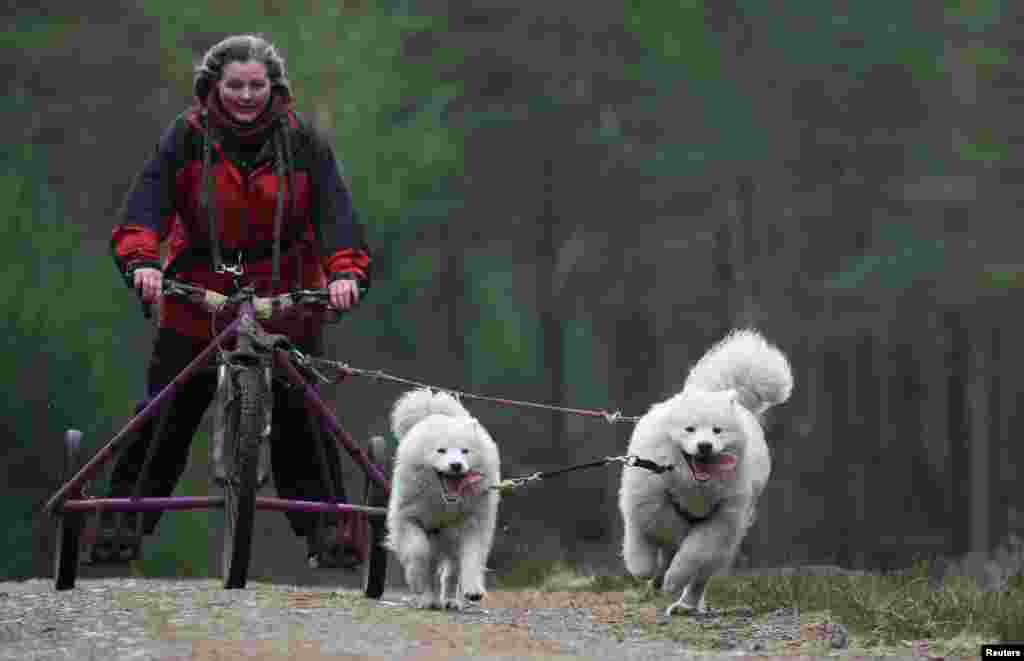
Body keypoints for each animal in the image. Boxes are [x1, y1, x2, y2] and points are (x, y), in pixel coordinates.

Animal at [385, 388, 499, 609]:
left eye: (465, 451)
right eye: (441, 450)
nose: (456, 465)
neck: (444, 504)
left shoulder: (474, 524)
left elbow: (472, 557)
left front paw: (473, 589)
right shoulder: (408, 519)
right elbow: (418, 552)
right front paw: (416, 580)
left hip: (451, 540)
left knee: (452, 571)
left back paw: (449, 600)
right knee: (431, 568)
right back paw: (428, 599)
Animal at [614, 329, 790, 618]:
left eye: (717, 430)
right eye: (690, 429)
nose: (705, 445)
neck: (689, 483)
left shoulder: (718, 523)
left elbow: (690, 555)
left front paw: (673, 580)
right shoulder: (644, 506)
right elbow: (645, 543)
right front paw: (647, 570)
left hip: (727, 540)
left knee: (700, 577)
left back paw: (685, 604)